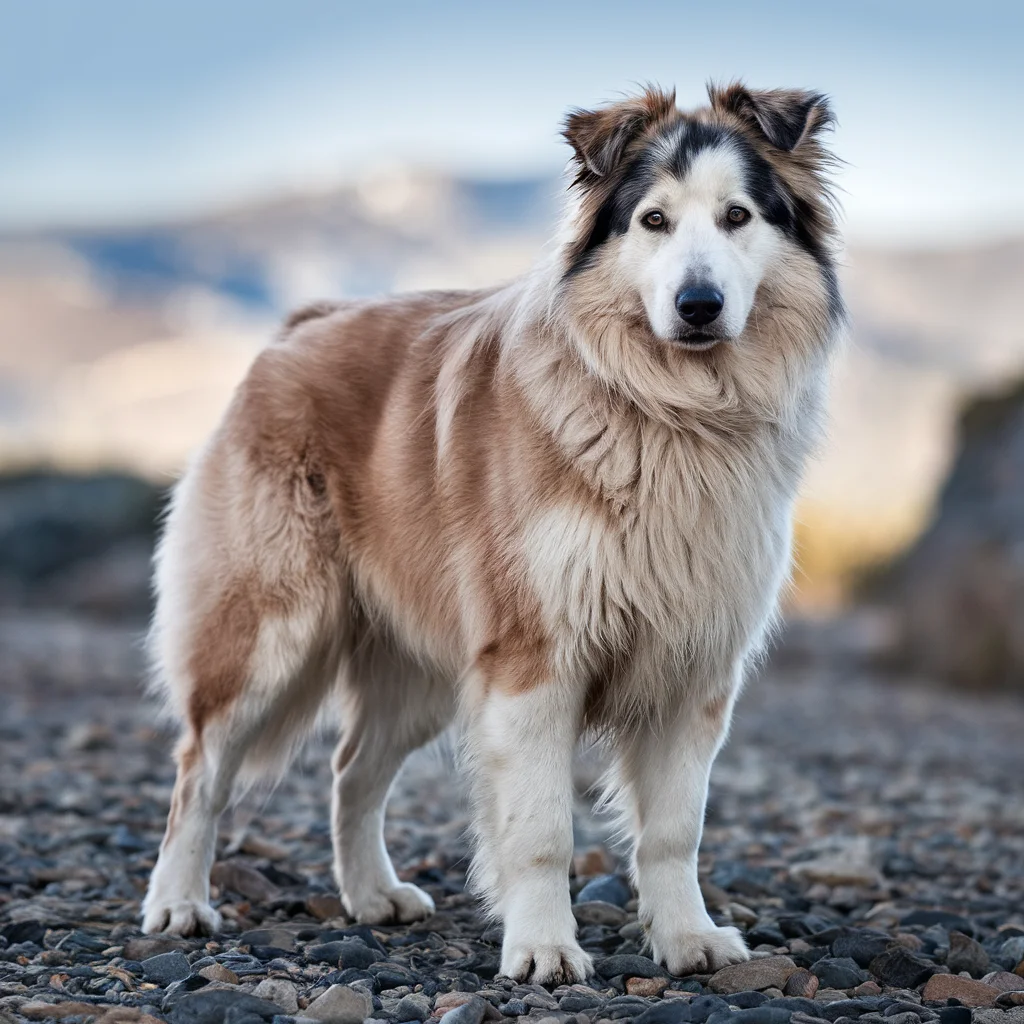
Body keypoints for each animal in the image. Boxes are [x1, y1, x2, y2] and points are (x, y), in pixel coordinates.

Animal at [146, 81, 847, 983]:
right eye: (653, 220)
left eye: (737, 217)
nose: (699, 306)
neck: (669, 411)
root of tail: (301, 324)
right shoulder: (530, 663)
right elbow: (543, 829)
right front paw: (544, 946)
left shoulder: (693, 669)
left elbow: (673, 830)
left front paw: (687, 938)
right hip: (266, 632)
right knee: (199, 772)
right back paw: (177, 903)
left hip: (418, 672)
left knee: (351, 773)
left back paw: (372, 895)